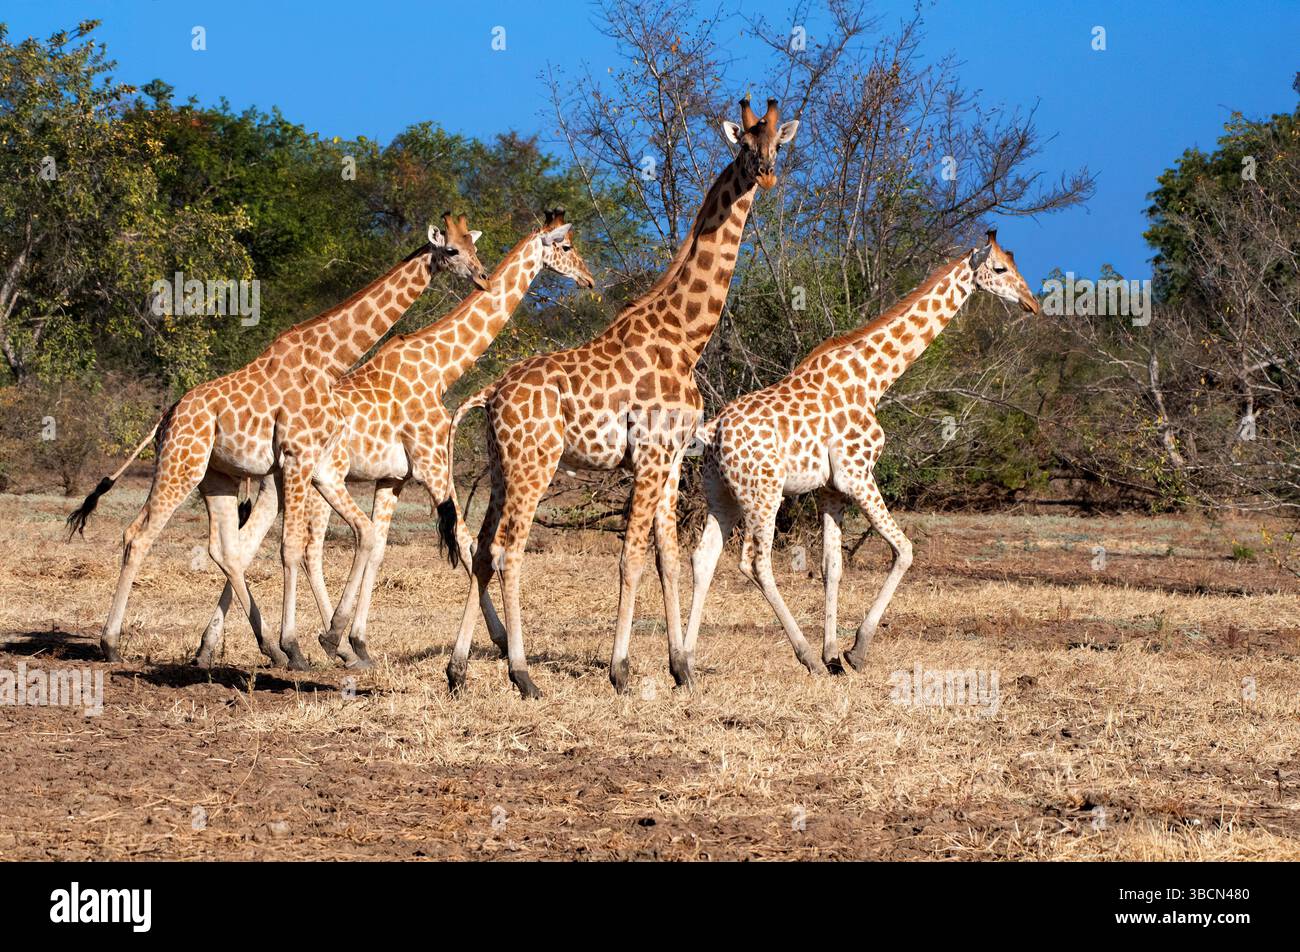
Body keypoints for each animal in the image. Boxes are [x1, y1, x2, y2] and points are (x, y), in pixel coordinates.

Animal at [67, 214, 490, 669]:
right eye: (452, 251)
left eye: (474, 247)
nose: (483, 277)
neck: (327, 360)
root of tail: (166, 417)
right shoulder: (297, 457)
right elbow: (291, 548)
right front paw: (299, 646)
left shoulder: (305, 463)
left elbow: (313, 543)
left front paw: (304, 644)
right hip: (181, 466)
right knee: (138, 535)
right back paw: (111, 643)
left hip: (217, 477)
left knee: (225, 550)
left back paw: (257, 645)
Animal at [193, 210, 595, 669]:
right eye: (566, 246)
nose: (588, 279)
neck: (440, 367)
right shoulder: (433, 463)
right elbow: (465, 540)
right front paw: (495, 639)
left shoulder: (395, 477)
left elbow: (382, 545)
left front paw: (357, 641)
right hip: (312, 482)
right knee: (299, 548)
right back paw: (280, 645)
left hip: (277, 483)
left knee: (245, 545)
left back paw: (214, 647)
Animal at [444, 96, 800, 698]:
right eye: (746, 144)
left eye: (778, 143)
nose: (769, 174)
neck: (684, 339)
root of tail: (490, 394)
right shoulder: (651, 456)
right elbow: (630, 558)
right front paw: (622, 670)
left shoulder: (673, 459)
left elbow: (668, 559)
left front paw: (682, 669)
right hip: (535, 465)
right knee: (509, 548)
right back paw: (522, 675)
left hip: (501, 466)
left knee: (484, 550)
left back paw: (458, 669)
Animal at [680, 231, 1039, 684]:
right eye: (1000, 268)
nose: (1032, 303)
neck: (873, 378)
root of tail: (712, 432)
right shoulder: (857, 474)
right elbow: (904, 550)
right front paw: (855, 650)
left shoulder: (830, 488)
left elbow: (832, 565)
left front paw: (834, 653)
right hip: (763, 493)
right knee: (755, 563)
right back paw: (804, 657)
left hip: (721, 495)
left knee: (703, 557)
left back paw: (684, 665)